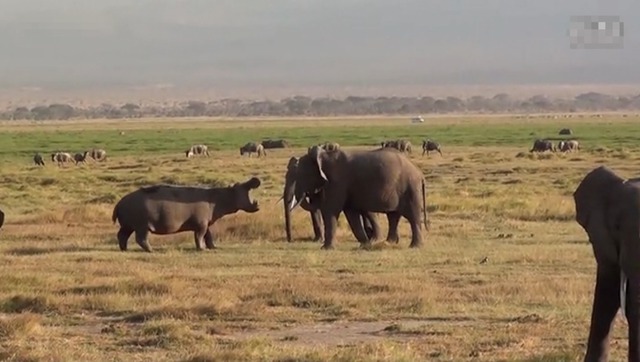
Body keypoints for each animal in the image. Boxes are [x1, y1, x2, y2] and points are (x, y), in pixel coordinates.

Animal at [112, 176, 260, 252]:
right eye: (239, 185)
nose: (255, 178)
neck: (220, 197)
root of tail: (119, 202)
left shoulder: (205, 223)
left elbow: (208, 236)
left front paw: (213, 247)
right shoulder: (201, 224)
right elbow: (199, 237)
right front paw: (202, 249)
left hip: (128, 226)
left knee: (121, 236)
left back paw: (124, 249)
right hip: (142, 226)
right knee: (141, 239)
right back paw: (151, 250)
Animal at [288, 144, 428, 249]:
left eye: (301, 175)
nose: (291, 241)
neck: (324, 156)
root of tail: (420, 173)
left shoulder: (338, 182)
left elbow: (331, 210)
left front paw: (325, 248)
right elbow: (351, 214)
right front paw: (365, 245)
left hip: (411, 188)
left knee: (413, 216)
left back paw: (414, 246)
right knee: (393, 216)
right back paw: (389, 243)